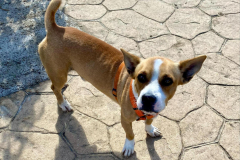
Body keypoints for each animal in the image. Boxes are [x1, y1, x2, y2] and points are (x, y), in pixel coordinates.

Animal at [39, 0, 206, 158]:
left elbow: (149, 121)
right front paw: (129, 147)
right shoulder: (124, 119)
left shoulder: (152, 113)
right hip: (59, 75)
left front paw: (150, 129)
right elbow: (130, 134)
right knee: (54, 88)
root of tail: (56, 28)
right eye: (141, 77)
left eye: (167, 81)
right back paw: (63, 103)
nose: (148, 98)